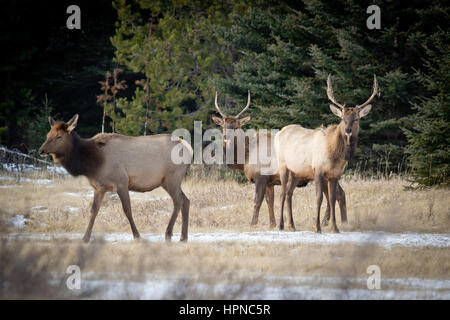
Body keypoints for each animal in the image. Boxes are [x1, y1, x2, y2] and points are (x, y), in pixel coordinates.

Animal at [39, 115, 192, 242]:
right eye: (48, 134)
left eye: (59, 136)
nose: (41, 150)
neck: (92, 163)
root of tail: (189, 148)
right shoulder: (99, 188)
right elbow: (93, 211)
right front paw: (85, 238)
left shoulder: (122, 182)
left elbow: (127, 210)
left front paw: (137, 236)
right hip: (167, 181)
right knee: (186, 200)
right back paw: (183, 237)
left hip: (172, 177)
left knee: (178, 201)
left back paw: (168, 233)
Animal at [276, 76, 378, 234]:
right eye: (342, 118)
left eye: (356, 118)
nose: (348, 130)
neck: (335, 156)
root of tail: (280, 132)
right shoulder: (318, 170)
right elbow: (319, 198)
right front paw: (317, 227)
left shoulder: (335, 174)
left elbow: (332, 198)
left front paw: (334, 227)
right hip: (283, 166)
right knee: (281, 194)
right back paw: (280, 225)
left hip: (296, 172)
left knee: (288, 193)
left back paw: (291, 225)